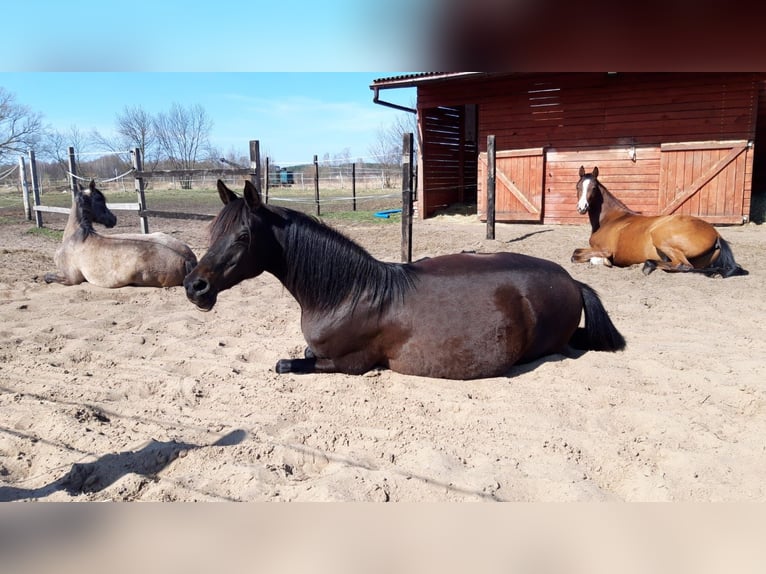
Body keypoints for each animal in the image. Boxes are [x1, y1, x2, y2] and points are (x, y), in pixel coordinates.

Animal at [44, 180, 198, 288]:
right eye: (100, 200)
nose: (113, 219)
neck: (77, 237)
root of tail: (187, 257)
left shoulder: (71, 279)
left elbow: (47, 277)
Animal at [186, 180, 632, 382]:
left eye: (243, 236)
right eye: (213, 231)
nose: (195, 286)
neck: (347, 294)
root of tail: (572, 281)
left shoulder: (350, 364)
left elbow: (286, 364)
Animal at [572, 166, 748, 280]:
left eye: (594, 188)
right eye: (578, 186)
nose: (582, 207)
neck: (611, 219)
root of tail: (716, 234)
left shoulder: (605, 250)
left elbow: (575, 255)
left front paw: (603, 261)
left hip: (661, 238)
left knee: (683, 265)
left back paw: (648, 265)